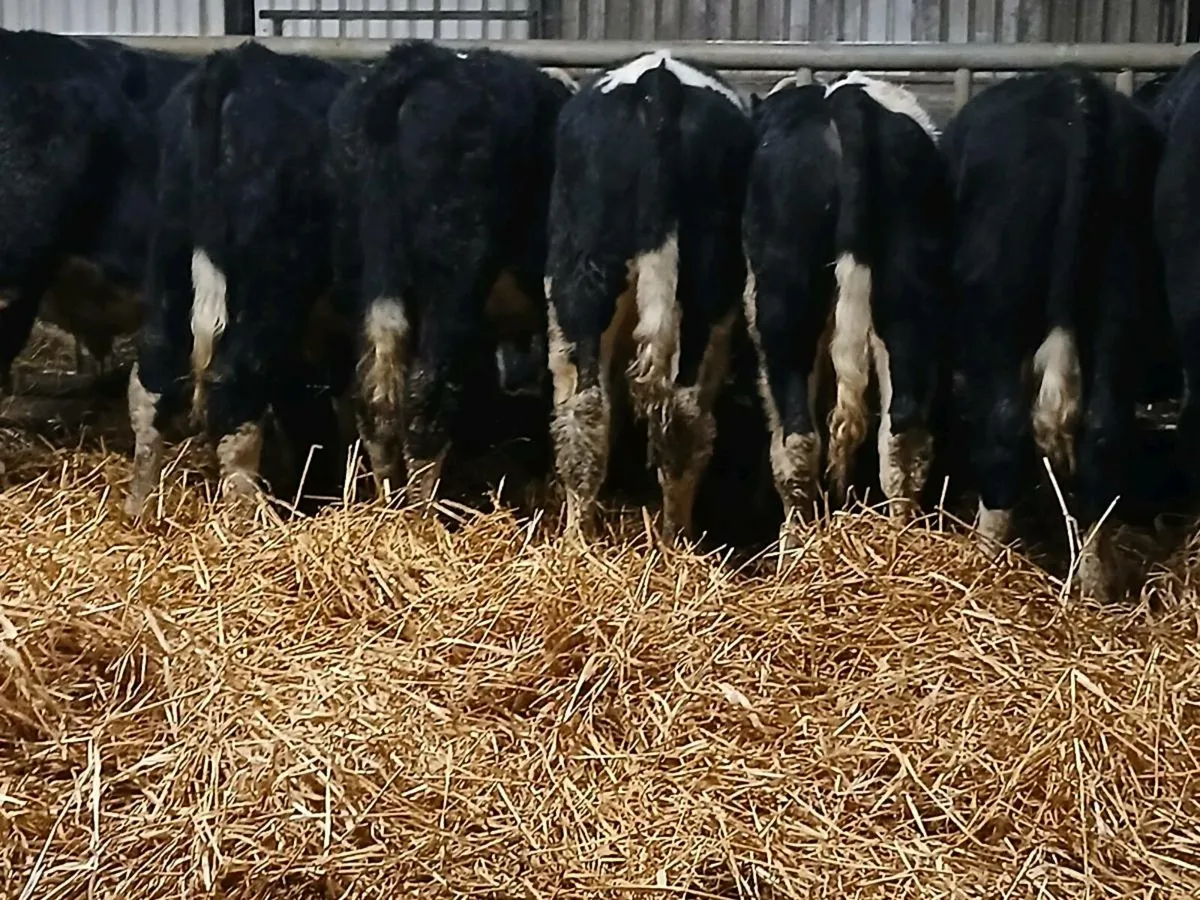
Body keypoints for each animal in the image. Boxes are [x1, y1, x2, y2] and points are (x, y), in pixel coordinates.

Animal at [126, 41, 357, 518]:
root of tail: (237, 63)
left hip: (171, 253)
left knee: (154, 376)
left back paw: (141, 506)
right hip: (272, 279)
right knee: (235, 387)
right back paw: (246, 517)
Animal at [328, 40, 574, 504]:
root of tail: (417, 64)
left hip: (362, 273)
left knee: (374, 396)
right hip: (454, 278)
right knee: (425, 395)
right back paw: (420, 510)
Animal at [741, 71, 951, 540]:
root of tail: (849, 104)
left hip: (785, 303)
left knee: (798, 438)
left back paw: (795, 544)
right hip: (909, 295)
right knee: (901, 433)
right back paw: (900, 534)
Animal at [941, 65, 1164, 601]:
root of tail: (1074, 90)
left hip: (1000, 305)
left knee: (1007, 428)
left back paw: (985, 560)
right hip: (1121, 298)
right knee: (1103, 433)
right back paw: (1096, 581)